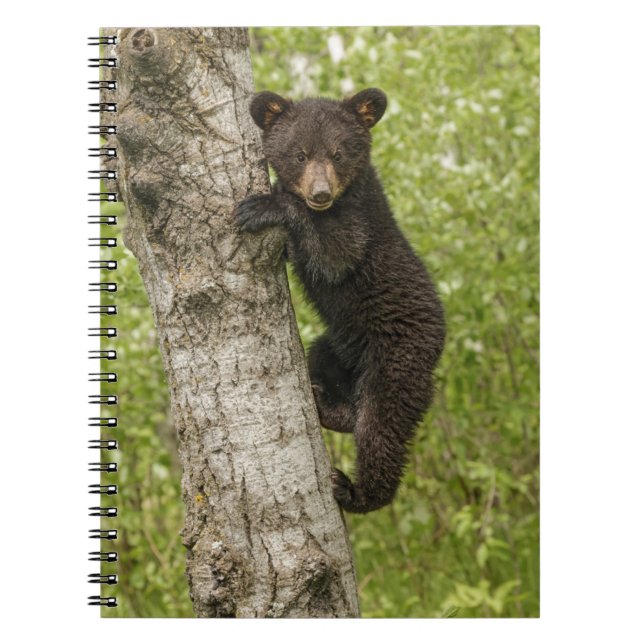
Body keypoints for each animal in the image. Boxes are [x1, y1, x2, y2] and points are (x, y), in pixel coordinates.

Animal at [234, 88, 445, 513]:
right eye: (299, 154)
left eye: (338, 153)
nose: (320, 193)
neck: (344, 197)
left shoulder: (360, 224)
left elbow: (335, 255)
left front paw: (264, 206)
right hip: (338, 346)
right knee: (327, 368)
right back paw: (327, 404)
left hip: (397, 361)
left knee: (381, 428)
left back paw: (356, 491)